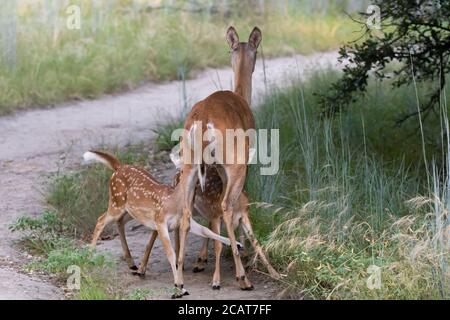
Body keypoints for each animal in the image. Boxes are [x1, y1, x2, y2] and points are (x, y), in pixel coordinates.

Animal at [83, 150, 239, 298]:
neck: (173, 201)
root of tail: (118, 167)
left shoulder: (183, 221)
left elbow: (206, 231)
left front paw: (235, 243)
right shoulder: (160, 221)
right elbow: (171, 254)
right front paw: (179, 288)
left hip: (130, 210)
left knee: (119, 221)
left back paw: (131, 263)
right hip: (116, 203)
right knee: (101, 220)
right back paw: (89, 258)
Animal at [175, 26, 266, 292]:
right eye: (257, 50)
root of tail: (202, 120)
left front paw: (202, 260)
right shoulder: (242, 162)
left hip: (189, 163)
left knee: (186, 212)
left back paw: (179, 281)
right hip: (235, 161)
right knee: (226, 204)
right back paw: (242, 277)